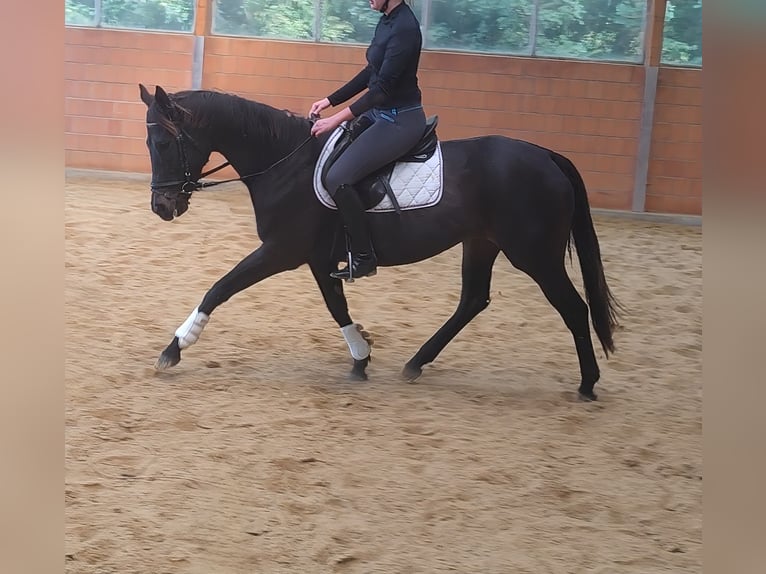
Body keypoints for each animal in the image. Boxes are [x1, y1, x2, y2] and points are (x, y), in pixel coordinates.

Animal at [138, 83, 620, 401]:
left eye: (161, 142)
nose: (162, 206)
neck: (284, 162)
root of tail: (546, 156)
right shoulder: (318, 259)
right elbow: (337, 308)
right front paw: (361, 358)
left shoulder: (281, 251)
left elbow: (220, 287)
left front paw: (173, 349)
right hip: (481, 243)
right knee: (473, 300)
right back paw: (415, 364)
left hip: (534, 254)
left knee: (573, 307)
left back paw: (587, 383)